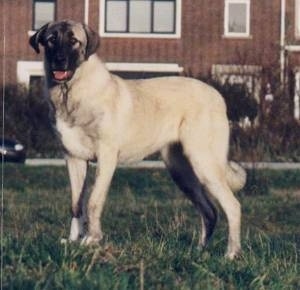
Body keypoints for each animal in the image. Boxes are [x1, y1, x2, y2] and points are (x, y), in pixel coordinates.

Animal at [29, 21, 247, 260]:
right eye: (51, 40)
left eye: (74, 41)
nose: (59, 59)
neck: (70, 92)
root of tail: (218, 96)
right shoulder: (74, 159)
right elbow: (76, 204)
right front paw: (73, 241)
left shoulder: (106, 157)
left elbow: (94, 201)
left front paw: (92, 239)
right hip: (182, 172)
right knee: (209, 211)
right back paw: (199, 252)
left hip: (204, 162)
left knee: (232, 206)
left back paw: (231, 254)